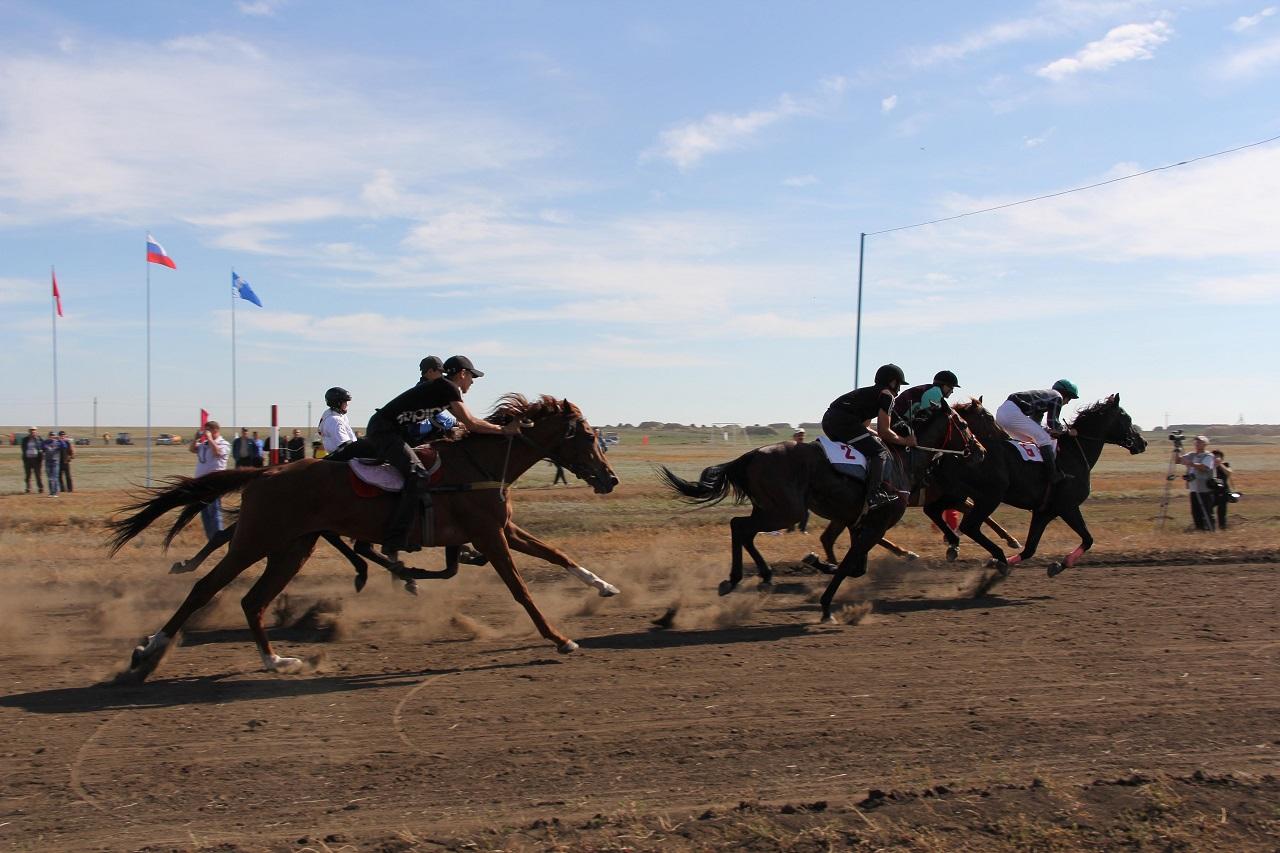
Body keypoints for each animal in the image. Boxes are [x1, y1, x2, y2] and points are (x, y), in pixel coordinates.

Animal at [107, 394, 616, 681]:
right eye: (588, 436)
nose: (609, 478)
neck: (479, 464)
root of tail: (265, 473)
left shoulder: (501, 529)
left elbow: (556, 554)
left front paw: (604, 586)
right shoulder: (491, 536)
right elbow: (521, 590)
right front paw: (559, 638)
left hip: (292, 547)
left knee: (252, 601)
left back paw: (278, 662)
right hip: (257, 540)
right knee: (205, 588)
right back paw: (149, 650)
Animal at [660, 399, 977, 617]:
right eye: (964, 425)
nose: (980, 450)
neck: (904, 460)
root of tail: (751, 455)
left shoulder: (859, 523)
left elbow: (854, 566)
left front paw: (818, 563)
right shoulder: (874, 525)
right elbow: (850, 565)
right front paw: (825, 604)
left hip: (771, 508)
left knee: (742, 528)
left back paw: (754, 577)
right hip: (786, 511)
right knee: (740, 526)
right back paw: (742, 578)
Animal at [942, 391, 1152, 571]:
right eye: (1127, 418)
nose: (1142, 442)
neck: (1074, 453)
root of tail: (965, 452)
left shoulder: (1044, 512)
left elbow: (1030, 549)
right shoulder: (1067, 506)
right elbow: (1088, 539)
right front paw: (1061, 564)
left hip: (962, 494)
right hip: (990, 496)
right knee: (969, 526)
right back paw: (996, 554)